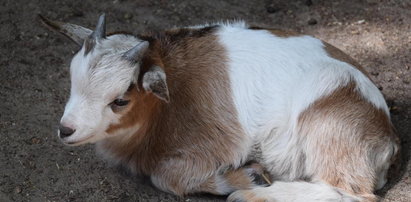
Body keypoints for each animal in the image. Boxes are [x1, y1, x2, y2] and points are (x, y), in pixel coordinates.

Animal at [38, 13, 400, 201]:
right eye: (72, 78)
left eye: (120, 100)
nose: (66, 130)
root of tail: (387, 136)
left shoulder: (217, 143)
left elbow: (165, 177)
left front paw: (247, 178)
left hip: (328, 125)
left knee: (350, 192)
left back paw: (254, 194)